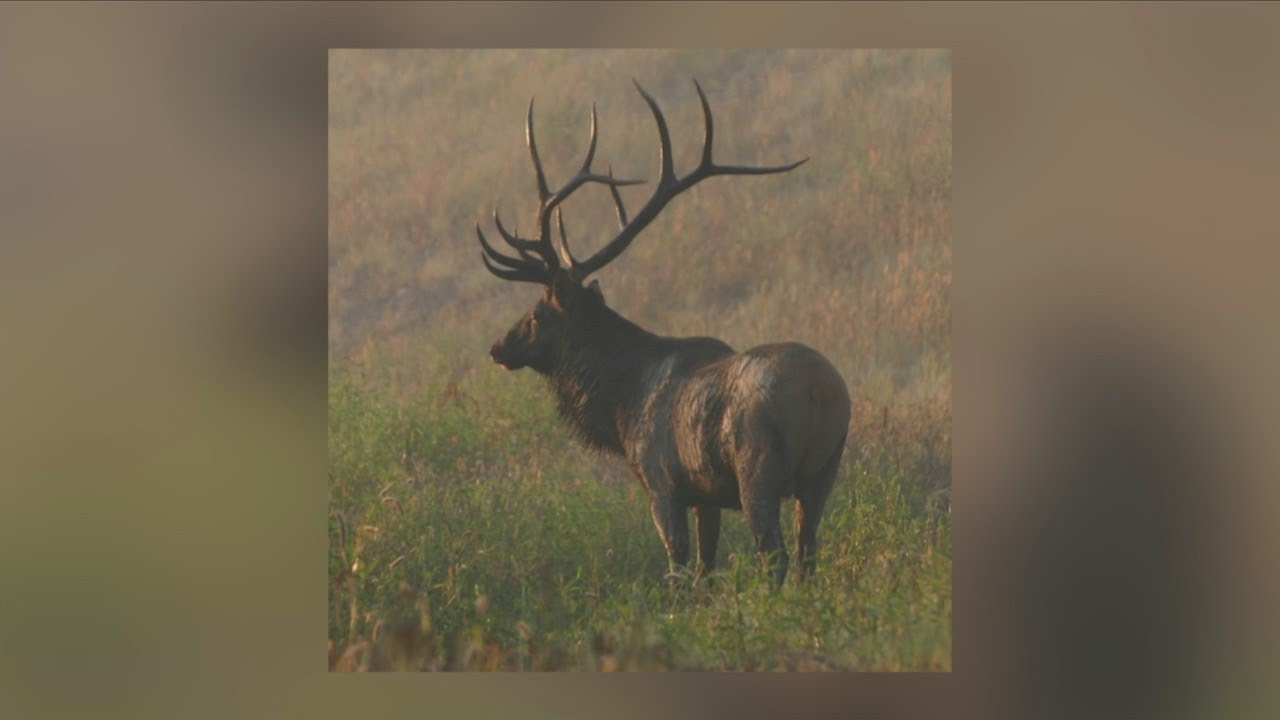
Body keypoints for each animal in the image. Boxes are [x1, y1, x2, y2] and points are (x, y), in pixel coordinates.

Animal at [475, 79, 852, 586]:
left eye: (536, 314)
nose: (499, 347)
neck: (619, 405)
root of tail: (820, 391)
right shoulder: (706, 495)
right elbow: (706, 569)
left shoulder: (661, 482)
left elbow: (679, 567)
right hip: (824, 472)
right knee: (809, 550)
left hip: (758, 469)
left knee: (773, 555)